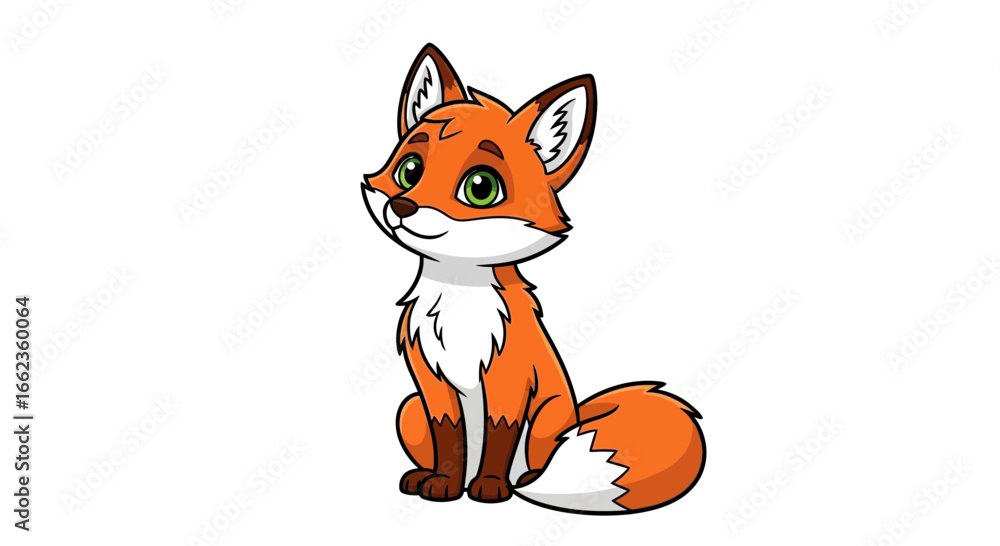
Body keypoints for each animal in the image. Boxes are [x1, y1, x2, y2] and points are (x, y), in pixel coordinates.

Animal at [361, 44, 706, 514]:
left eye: (481, 188)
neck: (458, 305)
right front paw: (445, 484)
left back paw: (518, 482)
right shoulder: (433, 386)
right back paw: (425, 475)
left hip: (546, 419)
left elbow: (498, 439)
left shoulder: (509, 382)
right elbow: (449, 440)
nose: (402, 206)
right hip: (408, 409)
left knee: (533, 467)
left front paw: (490, 487)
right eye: (410, 170)